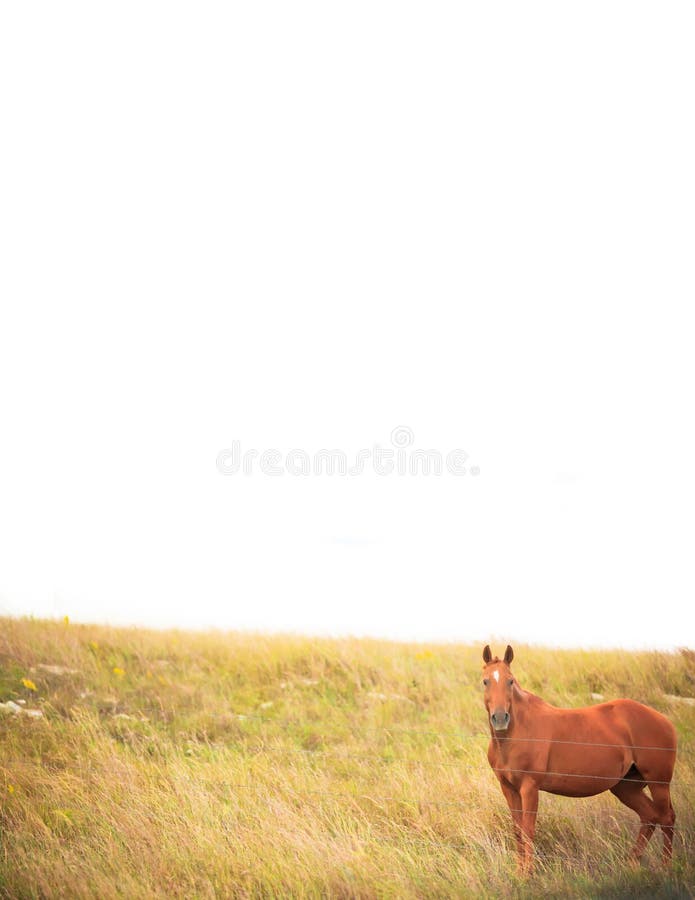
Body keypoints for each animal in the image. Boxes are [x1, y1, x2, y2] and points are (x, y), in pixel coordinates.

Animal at [481, 645, 677, 872]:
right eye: (485, 681)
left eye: (510, 681)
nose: (500, 718)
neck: (517, 732)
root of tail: (664, 721)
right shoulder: (508, 788)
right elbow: (517, 830)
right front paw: (519, 871)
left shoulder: (529, 787)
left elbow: (528, 830)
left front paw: (528, 874)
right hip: (626, 787)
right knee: (649, 817)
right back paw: (631, 863)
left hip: (658, 783)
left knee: (666, 818)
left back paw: (665, 868)